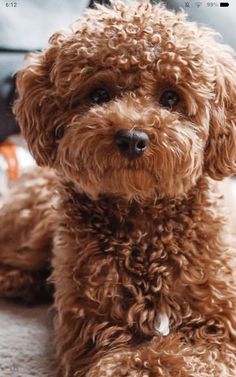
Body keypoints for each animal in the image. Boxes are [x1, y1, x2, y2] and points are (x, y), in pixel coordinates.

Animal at [0, 0, 236, 376]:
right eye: (98, 94)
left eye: (171, 97)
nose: (132, 138)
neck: (144, 222)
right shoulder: (96, 334)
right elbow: (130, 358)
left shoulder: (217, 333)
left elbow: (172, 355)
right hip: (33, 228)